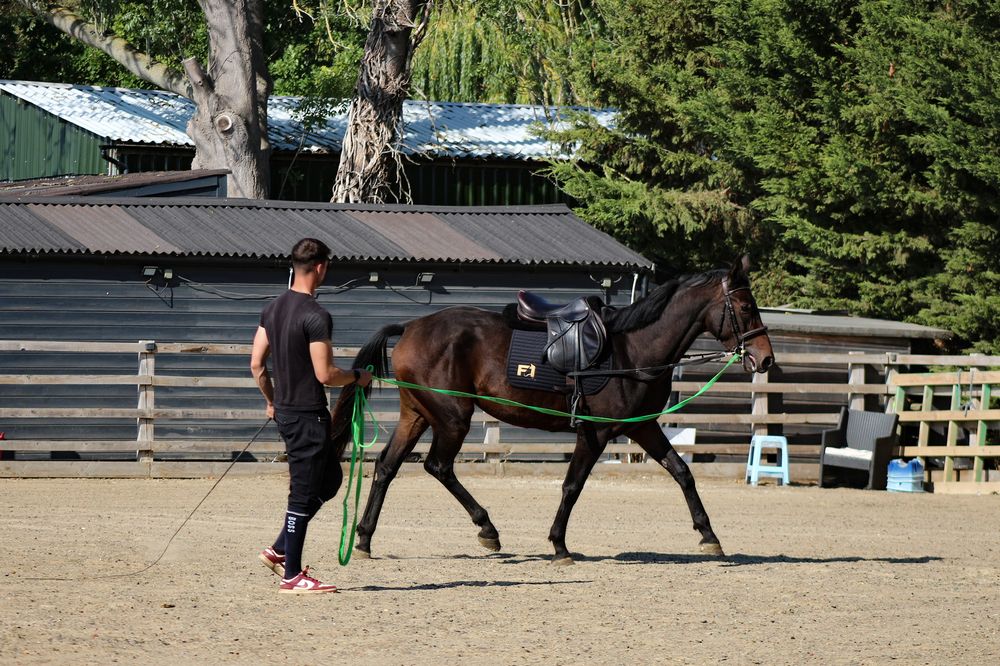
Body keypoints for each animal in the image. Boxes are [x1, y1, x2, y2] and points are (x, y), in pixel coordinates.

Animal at [330, 256, 775, 564]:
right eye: (746, 307)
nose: (765, 358)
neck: (632, 348)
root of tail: (411, 326)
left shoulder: (642, 427)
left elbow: (682, 473)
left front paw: (708, 536)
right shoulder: (595, 432)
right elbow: (572, 486)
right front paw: (559, 545)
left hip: (417, 414)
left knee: (386, 466)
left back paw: (365, 538)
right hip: (453, 417)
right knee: (438, 466)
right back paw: (487, 529)